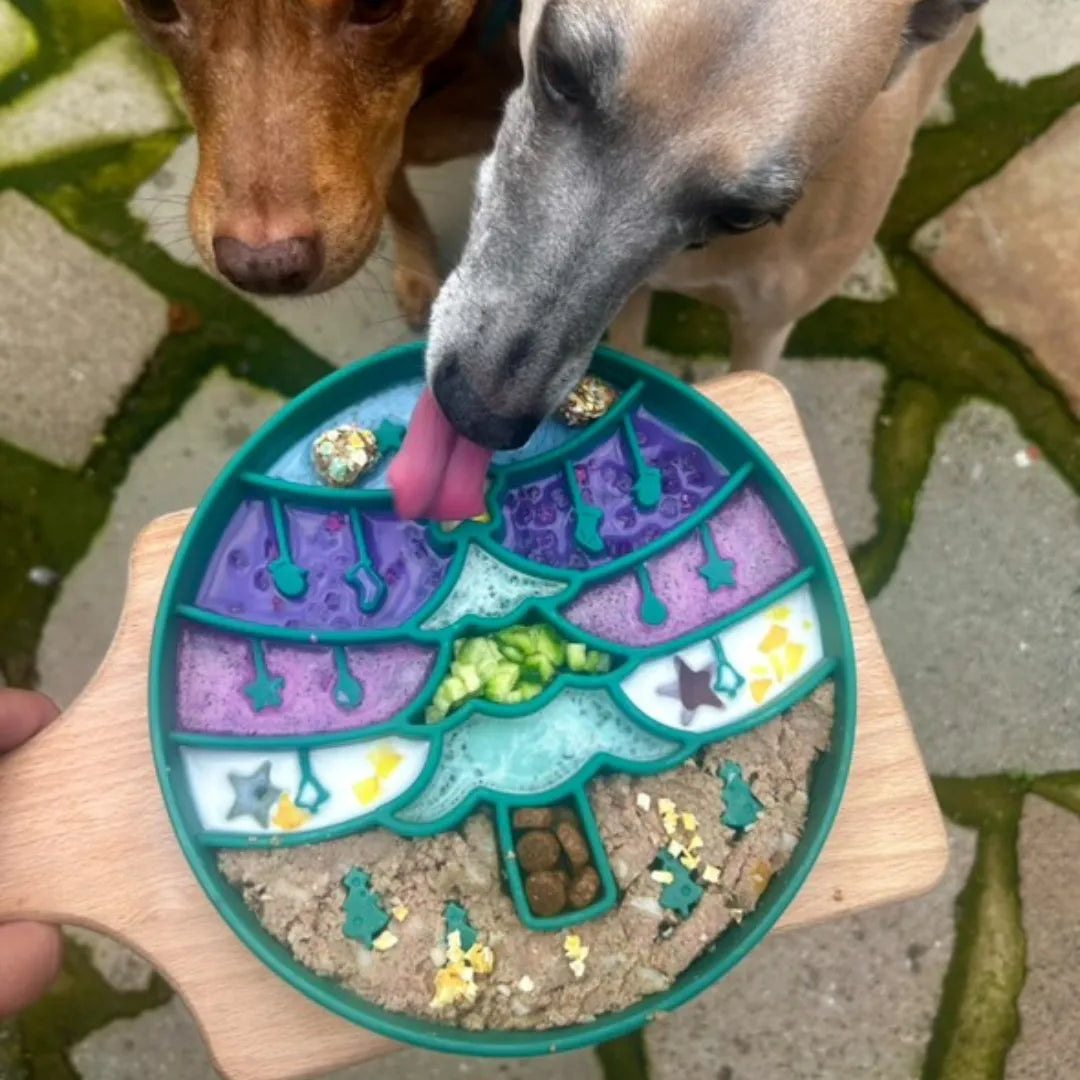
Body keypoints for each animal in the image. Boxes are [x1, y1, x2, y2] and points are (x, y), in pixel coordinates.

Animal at [122, 0, 518, 324]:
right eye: (156, 4)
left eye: (377, 2)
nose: (264, 268)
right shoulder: (382, 155)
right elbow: (399, 194)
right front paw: (417, 273)